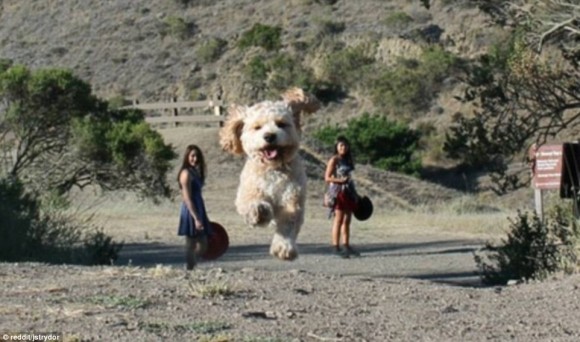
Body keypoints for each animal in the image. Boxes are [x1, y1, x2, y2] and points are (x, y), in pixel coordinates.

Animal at [219, 87, 320, 260]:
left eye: (281, 124)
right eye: (257, 127)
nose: (269, 136)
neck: (273, 168)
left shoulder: (292, 198)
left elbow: (288, 224)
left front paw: (283, 247)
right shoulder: (248, 192)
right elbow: (252, 203)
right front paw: (259, 212)